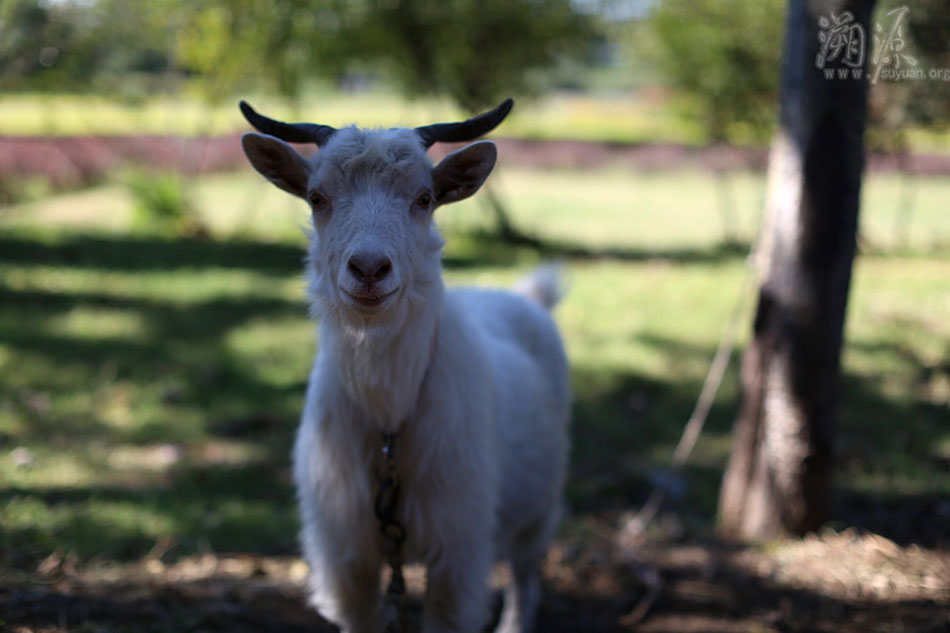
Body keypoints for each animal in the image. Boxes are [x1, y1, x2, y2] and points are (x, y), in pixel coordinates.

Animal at [242, 99, 568, 632]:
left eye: (424, 197)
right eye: (316, 197)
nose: (370, 269)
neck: (388, 419)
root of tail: (524, 296)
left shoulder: (458, 550)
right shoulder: (345, 553)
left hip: (540, 506)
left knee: (526, 575)